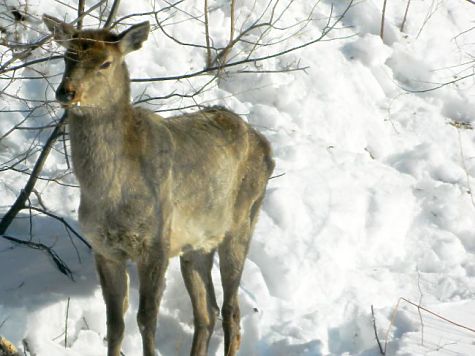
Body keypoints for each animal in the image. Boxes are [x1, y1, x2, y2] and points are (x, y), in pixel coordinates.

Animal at [44, 14, 276, 356]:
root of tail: (268, 148)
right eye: (66, 56)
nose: (66, 92)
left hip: (242, 222)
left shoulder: (155, 243)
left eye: (106, 63)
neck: (109, 193)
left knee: (232, 312)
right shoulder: (104, 248)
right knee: (207, 313)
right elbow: (115, 324)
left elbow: (146, 319)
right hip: (195, 246)